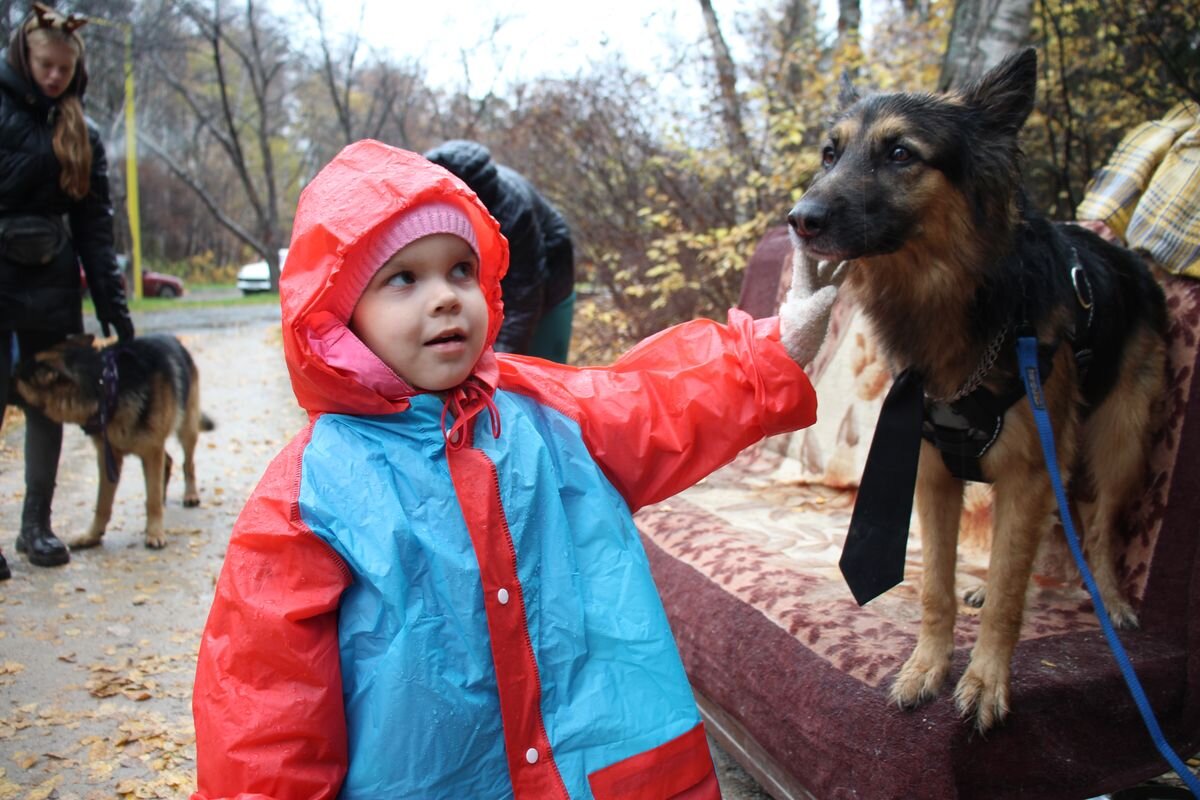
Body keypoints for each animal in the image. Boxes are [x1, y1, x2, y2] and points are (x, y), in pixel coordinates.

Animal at [13, 333, 216, 551]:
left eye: (15, 375)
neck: (107, 386)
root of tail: (173, 338)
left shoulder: (151, 451)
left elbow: (151, 499)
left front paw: (155, 532)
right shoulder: (108, 458)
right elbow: (102, 503)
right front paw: (92, 536)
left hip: (186, 429)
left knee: (188, 463)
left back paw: (190, 494)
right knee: (168, 462)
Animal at [792, 47, 1166, 729]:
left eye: (901, 153)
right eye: (831, 154)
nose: (799, 220)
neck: (954, 299)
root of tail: (1131, 256)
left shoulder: (1026, 471)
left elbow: (1011, 598)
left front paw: (987, 679)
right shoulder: (935, 475)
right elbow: (936, 587)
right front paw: (927, 668)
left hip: (1117, 443)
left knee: (1098, 529)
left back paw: (1110, 599)